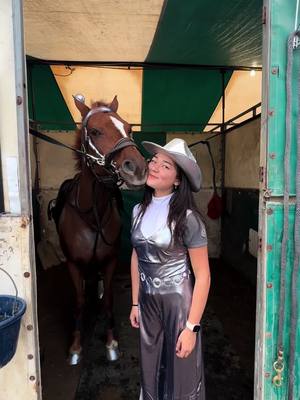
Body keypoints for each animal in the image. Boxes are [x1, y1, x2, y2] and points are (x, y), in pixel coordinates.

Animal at [51, 95, 148, 364]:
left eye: (129, 128)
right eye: (94, 131)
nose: (138, 168)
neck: (91, 216)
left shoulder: (109, 260)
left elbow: (109, 302)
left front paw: (111, 343)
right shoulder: (74, 263)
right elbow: (80, 302)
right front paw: (75, 347)